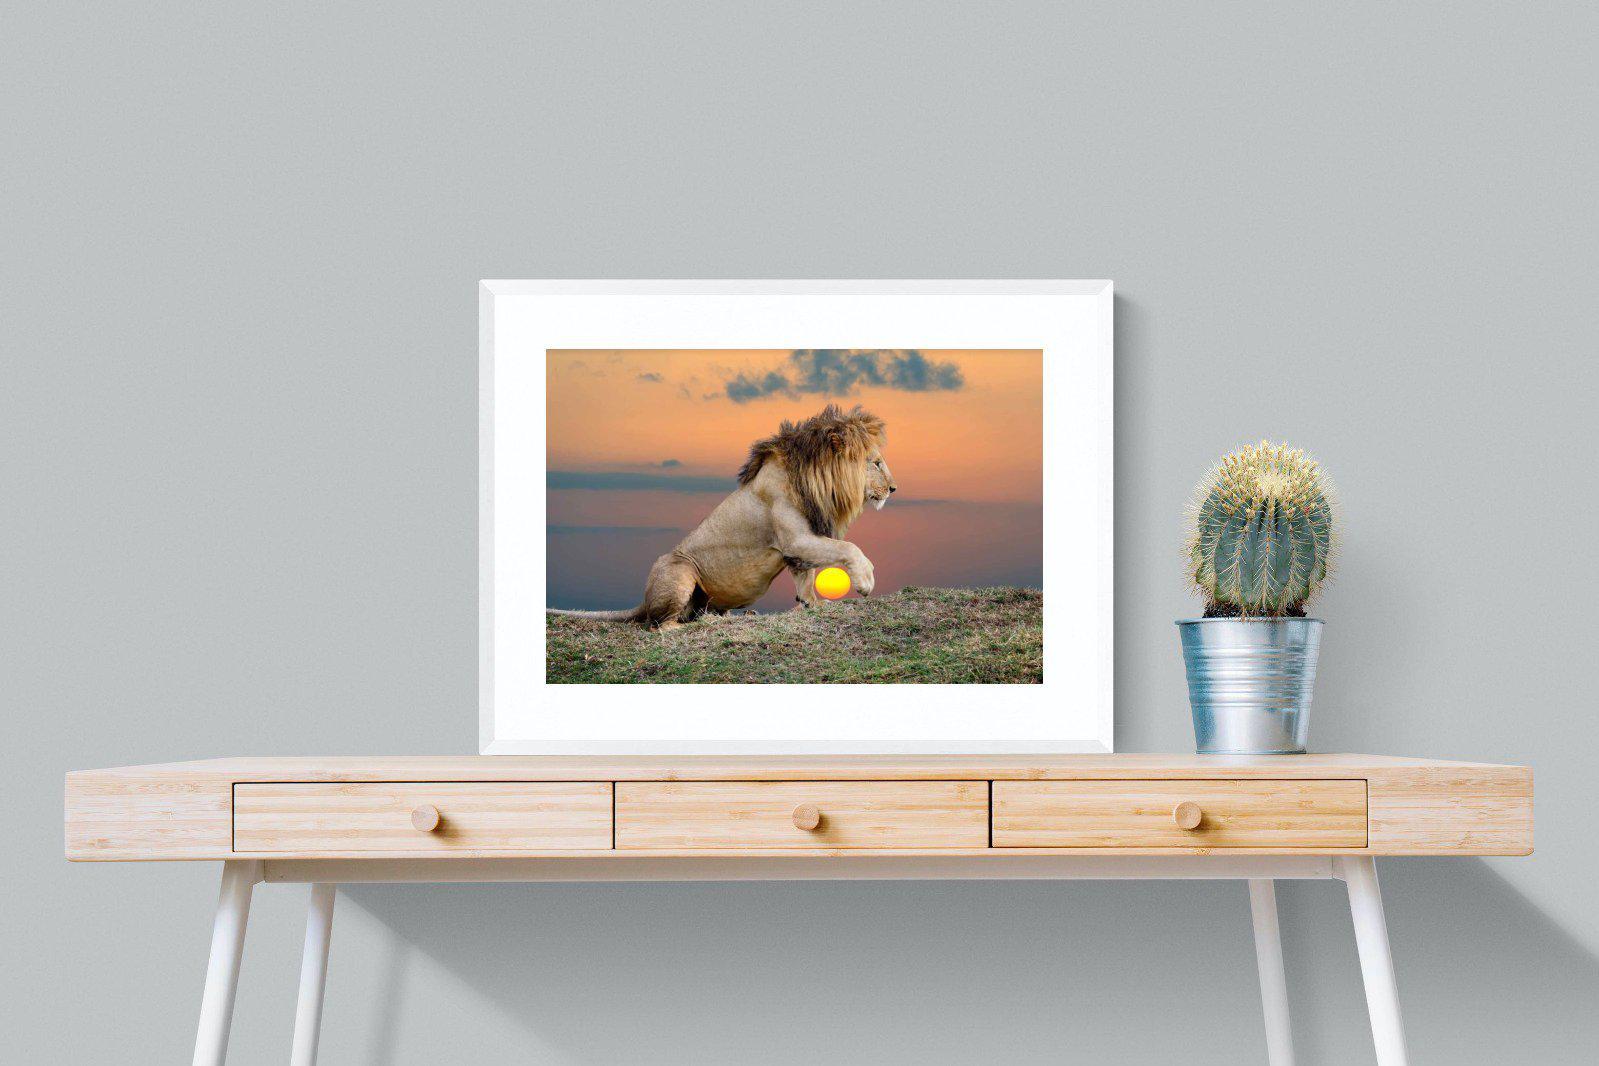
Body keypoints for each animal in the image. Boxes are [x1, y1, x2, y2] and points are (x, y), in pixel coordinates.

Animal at [550, 404, 897, 630]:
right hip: (680, 570)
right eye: (876, 462)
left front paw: (813, 604)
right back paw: (691, 626)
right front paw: (865, 581)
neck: (817, 481)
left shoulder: (799, 544)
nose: (894, 488)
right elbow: (848, 548)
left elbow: (806, 577)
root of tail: (644, 600)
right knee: (659, 624)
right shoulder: (796, 538)